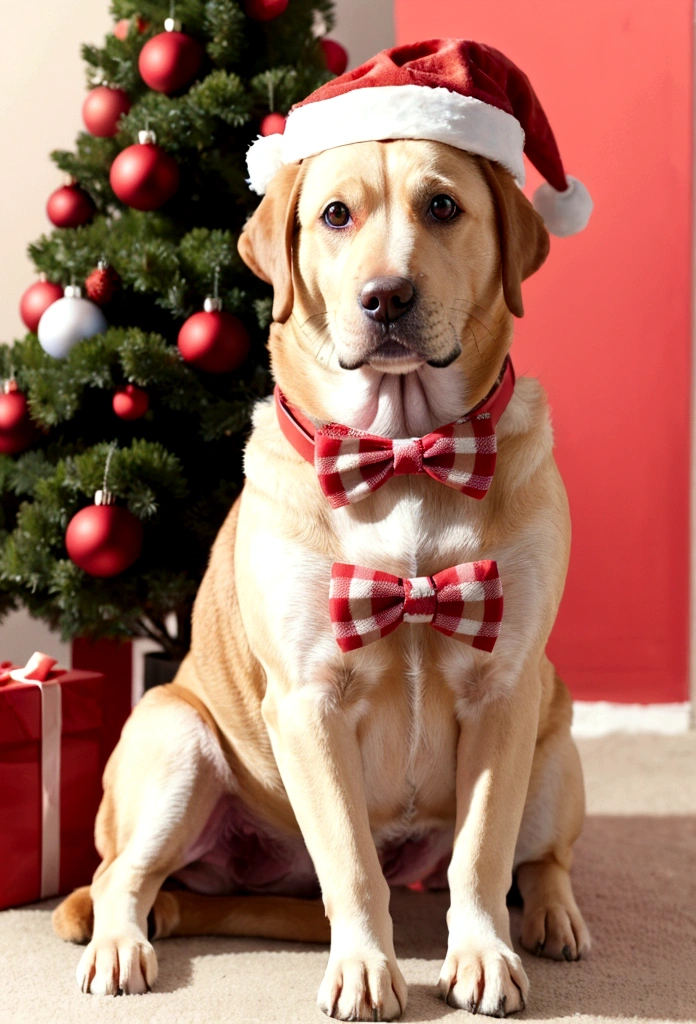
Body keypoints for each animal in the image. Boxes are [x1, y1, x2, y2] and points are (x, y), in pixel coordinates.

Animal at [51, 140, 589, 1019]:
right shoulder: (309, 699)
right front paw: (366, 965)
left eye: (443, 206)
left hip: (554, 750)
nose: (387, 297)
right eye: (337, 215)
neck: (403, 454)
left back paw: (553, 916)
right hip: (177, 742)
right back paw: (120, 947)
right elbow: (352, 862)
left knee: (541, 860)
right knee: (117, 876)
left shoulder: (504, 693)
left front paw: (481, 954)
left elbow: (480, 854)